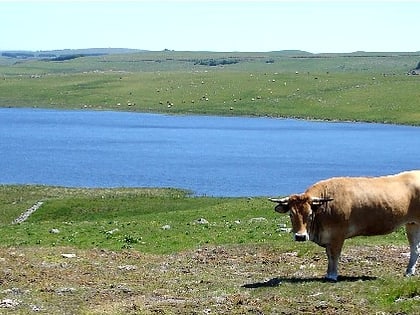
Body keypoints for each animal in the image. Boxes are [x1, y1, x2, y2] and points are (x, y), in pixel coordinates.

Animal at [270, 172, 420, 282]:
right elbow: (329, 255)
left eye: (310, 214)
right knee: (415, 249)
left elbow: (334, 255)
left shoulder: (337, 235)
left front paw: (332, 275)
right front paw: (328, 274)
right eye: (291, 214)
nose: (300, 236)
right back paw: (409, 272)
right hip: (412, 225)